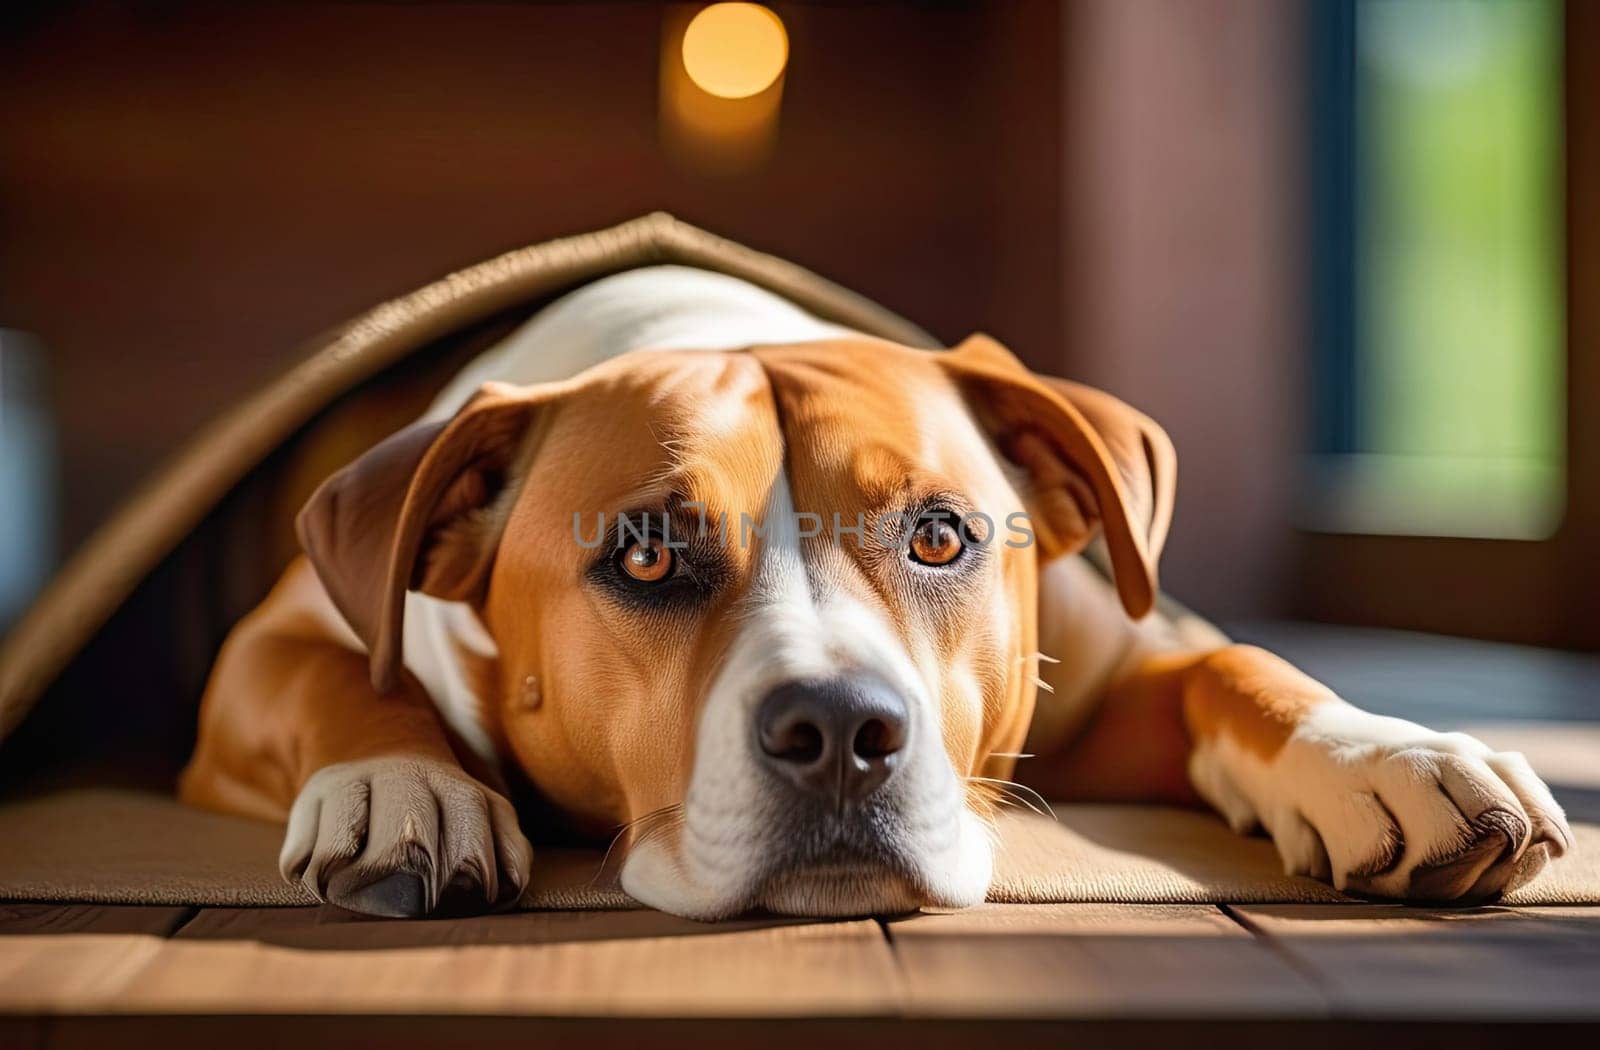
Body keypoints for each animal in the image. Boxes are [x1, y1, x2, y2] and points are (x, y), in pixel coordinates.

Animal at [181, 264, 1568, 921]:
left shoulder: (1116, 666)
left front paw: (1383, 754)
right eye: (644, 554)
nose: (842, 730)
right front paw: (398, 787)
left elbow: (1237, 666)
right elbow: (340, 681)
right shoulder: (274, 642)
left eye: (942, 538)